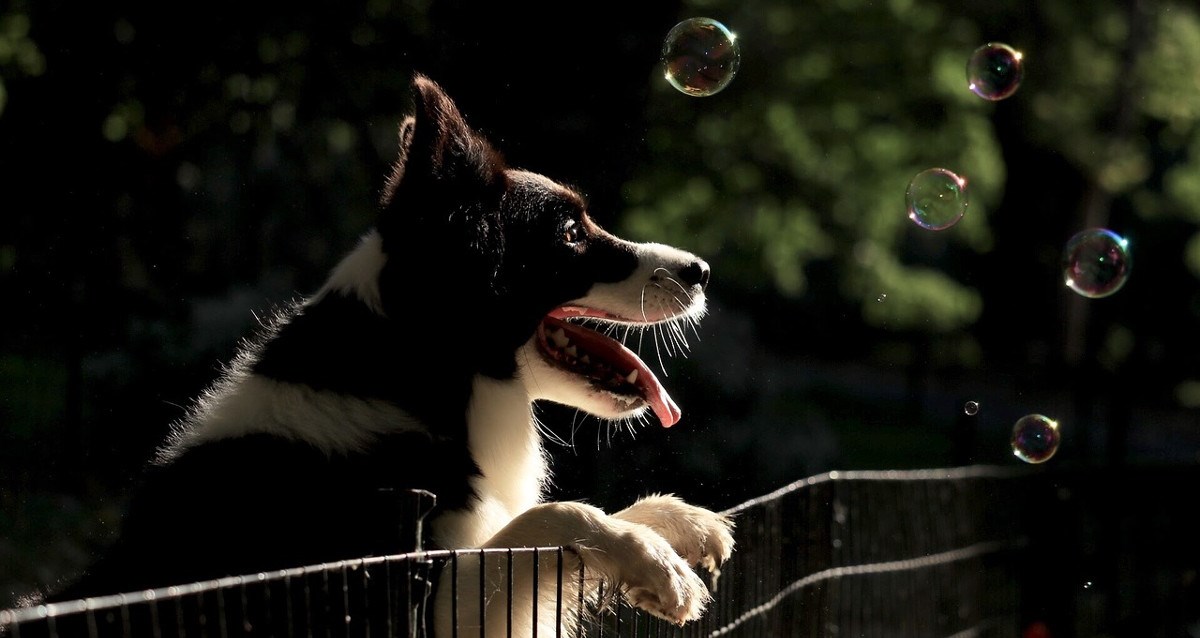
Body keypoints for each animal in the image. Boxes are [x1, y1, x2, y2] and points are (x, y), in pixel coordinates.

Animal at [44, 73, 729, 633]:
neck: (420, 370)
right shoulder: (400, 590)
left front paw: (678, 523)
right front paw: (651, 560)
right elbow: (554, 516)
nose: (702, 271)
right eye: (569, 234)